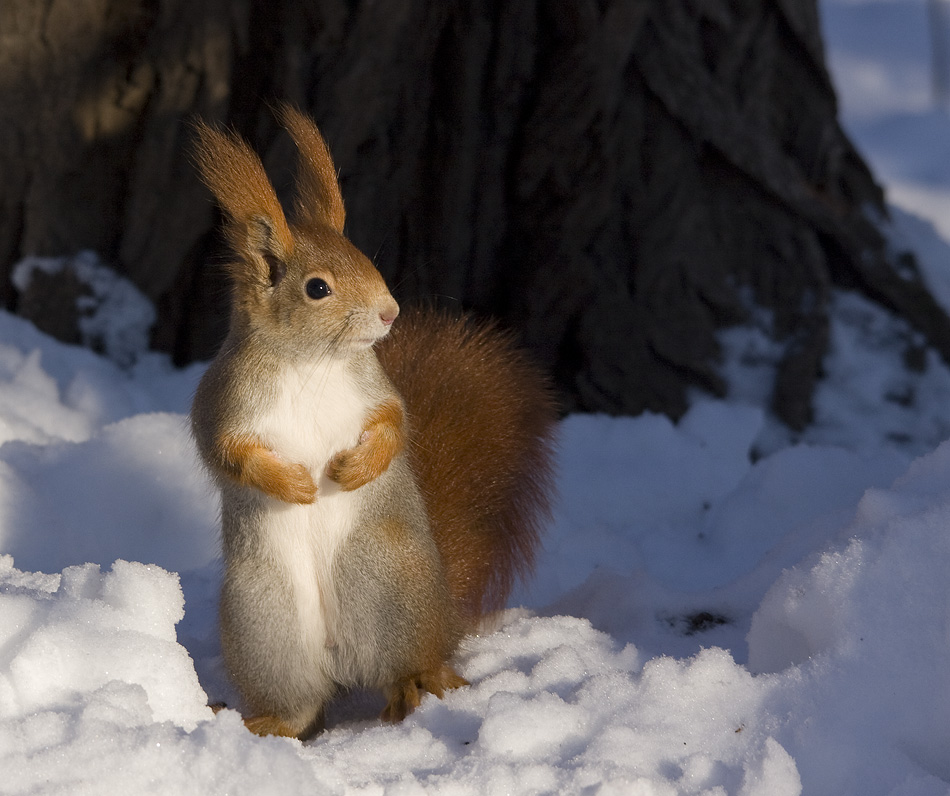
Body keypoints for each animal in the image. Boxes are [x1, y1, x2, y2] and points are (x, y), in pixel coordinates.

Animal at [190, 105, 556, 740]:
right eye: (317, 288)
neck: (310, 363)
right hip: (265, 621)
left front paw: (354, 470)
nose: (390, 312)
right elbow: (229, 453)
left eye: (367, 259)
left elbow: (394, 426)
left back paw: (418, 687)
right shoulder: (223, 404)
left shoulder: (374, 390)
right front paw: (294, 484)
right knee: (302, 702)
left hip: (390, 587)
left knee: (412, 664)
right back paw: (267, 723)